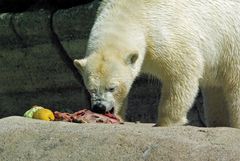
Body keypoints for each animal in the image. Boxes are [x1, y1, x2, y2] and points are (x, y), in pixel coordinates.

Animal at [74, 0, 240, 127]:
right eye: (90, 89)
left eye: (112, 88)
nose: (100, 107)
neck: (131, 11)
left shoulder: (164, 31)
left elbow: (182, 71)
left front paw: (165, 122)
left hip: (231, 44)